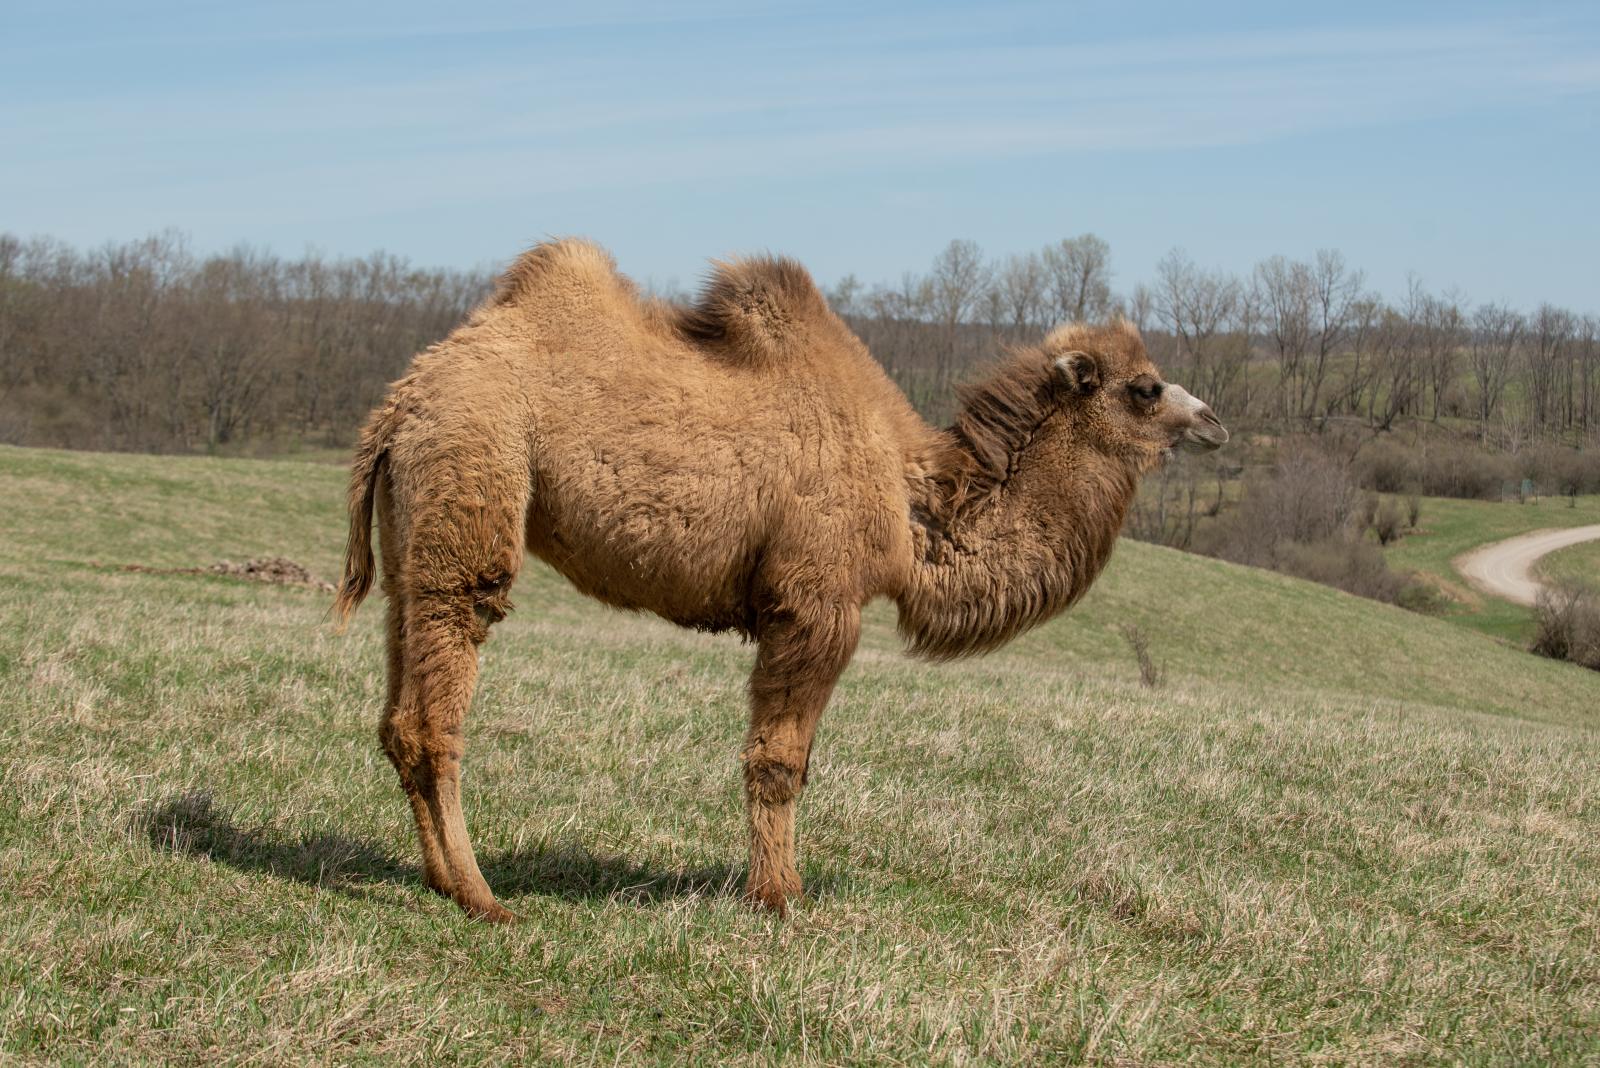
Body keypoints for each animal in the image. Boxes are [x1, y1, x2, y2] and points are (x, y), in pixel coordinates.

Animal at [334, 238, 1222, 920]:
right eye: (1145, 388)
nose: (1212, 421)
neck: (914, 507)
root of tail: (401, 402)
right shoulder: (816, 602)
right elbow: (779, 761)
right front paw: (778, 897)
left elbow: (795, 758)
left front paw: (779, 887)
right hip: (473, 482)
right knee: (438, 707)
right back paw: (481, 895)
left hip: (413, 530)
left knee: (397, 710)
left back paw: (439, 880)